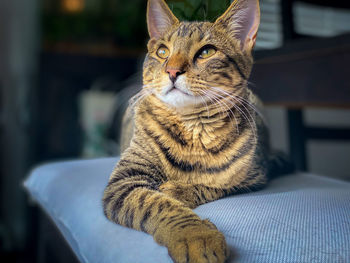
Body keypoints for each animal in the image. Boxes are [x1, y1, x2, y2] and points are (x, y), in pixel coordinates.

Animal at [102, 0, 290, 263]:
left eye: (206, 52)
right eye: (162, 52)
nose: (172, 71)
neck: (193, 130)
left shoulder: (255, 176)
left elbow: (214, 185)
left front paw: (179, 190)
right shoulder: (125, 181)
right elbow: (156, 203)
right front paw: (195, 235)